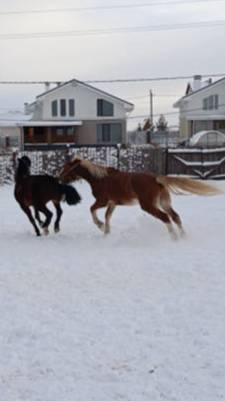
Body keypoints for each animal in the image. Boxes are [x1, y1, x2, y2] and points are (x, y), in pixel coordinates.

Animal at [58, 155, 221, 238]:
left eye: (66, 168)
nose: (59, 178)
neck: (100, 178)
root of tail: (156, 178)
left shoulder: (102, 201)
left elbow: (92, 210)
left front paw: (100, 226)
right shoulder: (112, 203)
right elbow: (107, 216)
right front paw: (106, 232)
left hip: (148, 205)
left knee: (165, 218)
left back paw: (174, 238)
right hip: (164, 203)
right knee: (175, 216)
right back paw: (183, 236)